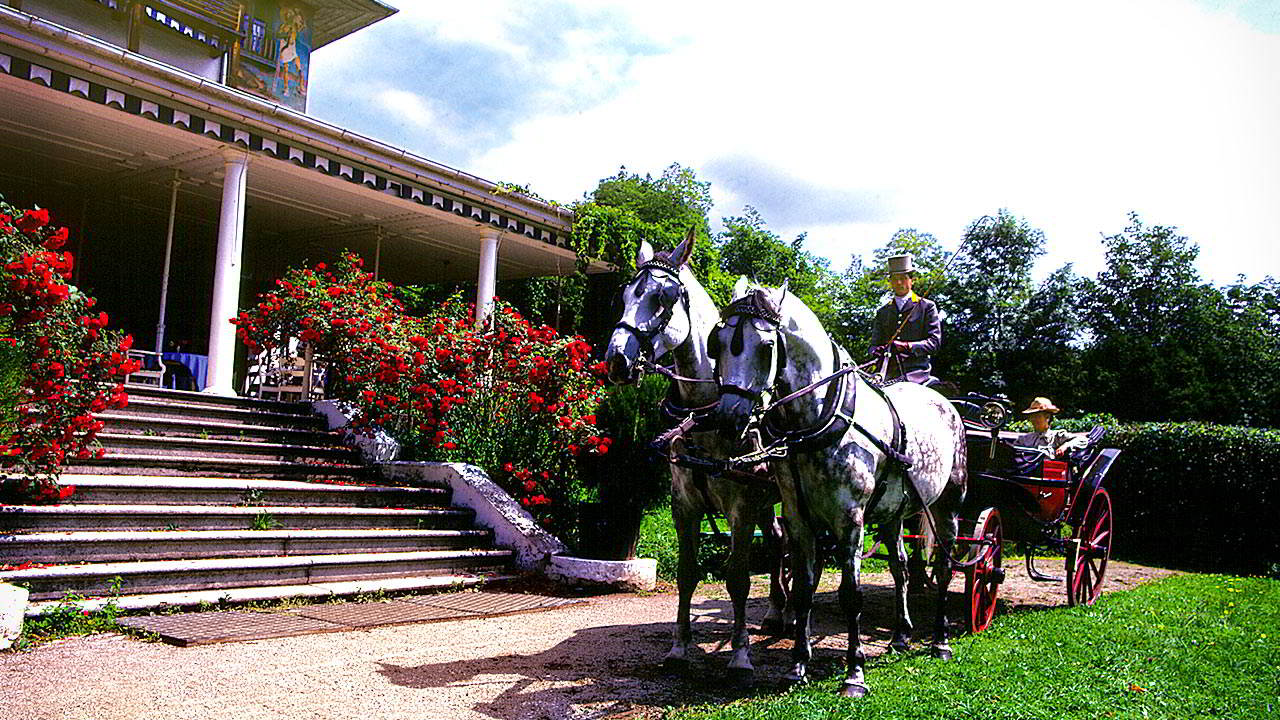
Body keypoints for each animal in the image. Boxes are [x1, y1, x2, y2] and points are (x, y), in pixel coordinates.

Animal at [601, 229, 788, 676]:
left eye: (664, 298)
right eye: (625, 294)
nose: (617, 360)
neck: (708, 416)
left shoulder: (742, 505)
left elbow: (737, 577)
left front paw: (740, 656)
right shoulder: (683, 504)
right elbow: (688, 573)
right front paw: (679, 649)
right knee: (777, 542)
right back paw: (777, 612)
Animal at [711, 278, 962, 691]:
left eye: (766, 347)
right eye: (718, 342)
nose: (728, 419)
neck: (818, 421)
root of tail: (945, 401)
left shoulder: (849, 520)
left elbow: (851, 595)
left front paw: (854, 672)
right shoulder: (798, 518)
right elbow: (802, 590)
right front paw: (797, 664)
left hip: (949, 505)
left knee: (943, 565)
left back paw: (939, 640)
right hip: (893, 512)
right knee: (901, 567)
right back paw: (900, 636)